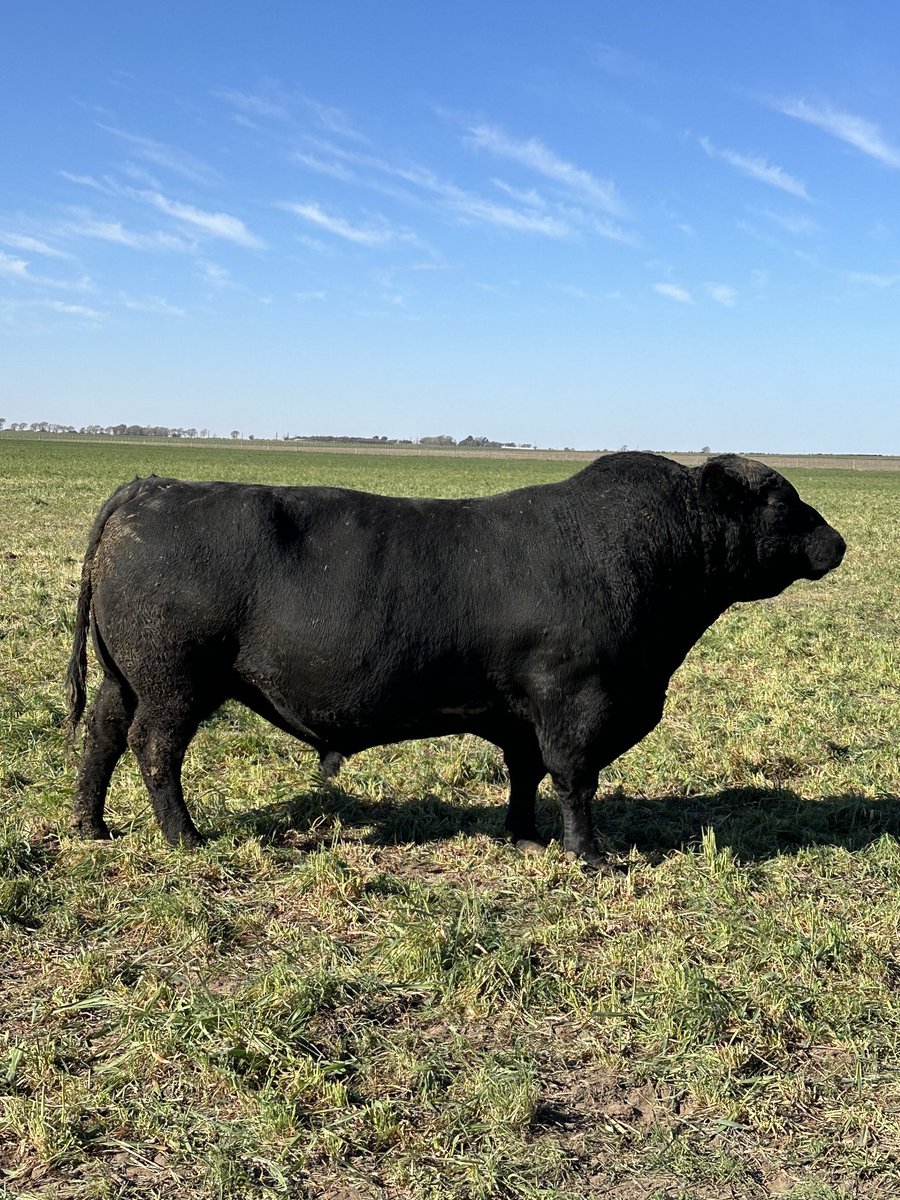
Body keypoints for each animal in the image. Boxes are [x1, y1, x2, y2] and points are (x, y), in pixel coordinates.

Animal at [66, 453, 845, 865]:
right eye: (780, 501)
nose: (836, 541)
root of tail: (150, 486)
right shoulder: (577, 701)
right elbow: (575, 779)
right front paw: (588, 856)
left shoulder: (525, 712)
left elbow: (527, 774)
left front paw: (522, 836)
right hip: (173, 681)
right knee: (154, 747)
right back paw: (185, 837)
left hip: (124, 678)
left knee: (102, 737)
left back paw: (91, 826)